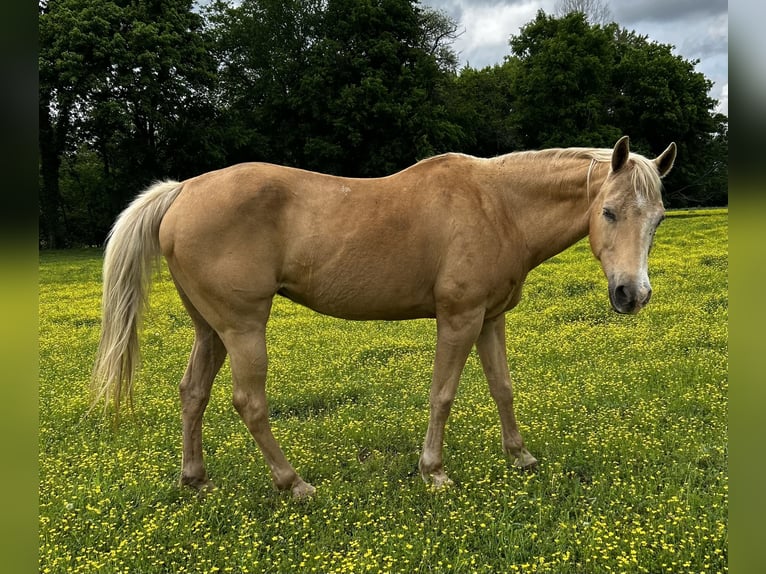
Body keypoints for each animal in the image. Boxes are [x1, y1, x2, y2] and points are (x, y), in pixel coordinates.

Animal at [92, 135, 676, 497]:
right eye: (608, 212)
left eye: (658, 218)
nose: (632, 294)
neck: (498, 205)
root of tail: (183, 191)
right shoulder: (459, 318)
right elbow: (443, 393)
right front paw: (433, 471)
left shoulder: (490, 319)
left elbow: (503, 388)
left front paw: (520, 457)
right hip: (242, 328)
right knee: (249, 403)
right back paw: (293, 484)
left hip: (209, 329)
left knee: (193, 392)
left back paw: (194, 479)